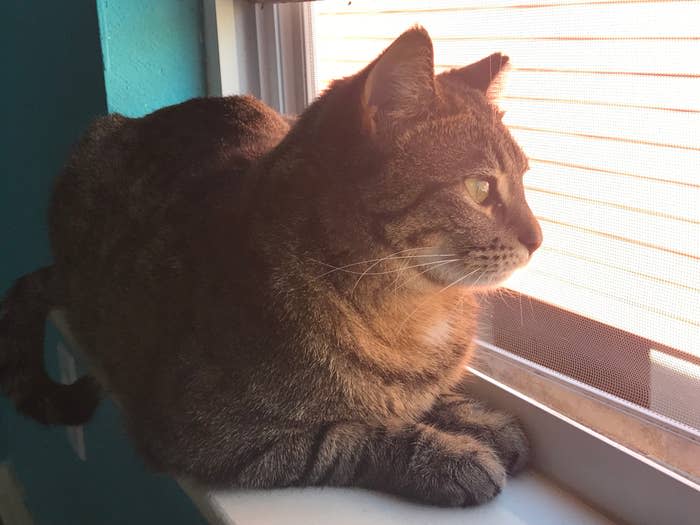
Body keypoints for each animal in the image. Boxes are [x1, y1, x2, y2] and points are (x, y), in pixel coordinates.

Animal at [0, 26, 540, 506]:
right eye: (479, 188)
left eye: (524, 178)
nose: (538, 239)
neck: (414, 312)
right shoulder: (214, 438)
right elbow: (351, 437)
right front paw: (446, 455)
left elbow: (424, 396)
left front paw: (477, 417)